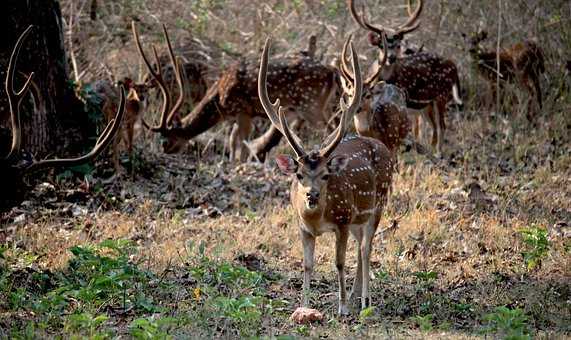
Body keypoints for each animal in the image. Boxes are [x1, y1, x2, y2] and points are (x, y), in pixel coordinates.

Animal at [134, 21, 340, 162]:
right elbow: (233, 141)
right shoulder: (237, 116)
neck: (220, 100)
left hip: (311, 105)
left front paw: (240, 163)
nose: (165, 151)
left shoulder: (243, 110)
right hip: (319, 105)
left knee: (332, 130)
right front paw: (232, 162)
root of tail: (332, 72)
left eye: (166, 140)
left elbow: (242, 142)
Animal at [262, 36, 396, 314]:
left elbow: (339, 262)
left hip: (378, 203)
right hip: (358, 218)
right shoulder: (303, 227)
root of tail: (381, 145)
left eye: (325, 175)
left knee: (366, 248)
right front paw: (303, 305)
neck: (316, 220)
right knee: (361, 245)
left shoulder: (343, 220)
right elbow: (307, 265)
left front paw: (342, 307)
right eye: (299, 175)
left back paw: (365, 300)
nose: (311, 196)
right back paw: (356, 295)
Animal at [348, 0, 464, 153]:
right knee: (434, 128)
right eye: (380, 45)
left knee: (441, 127)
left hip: (442, 95)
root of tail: (454, 66)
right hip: (427, 105)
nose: (391, 58)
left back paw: (438, 153)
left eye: (398, 45)